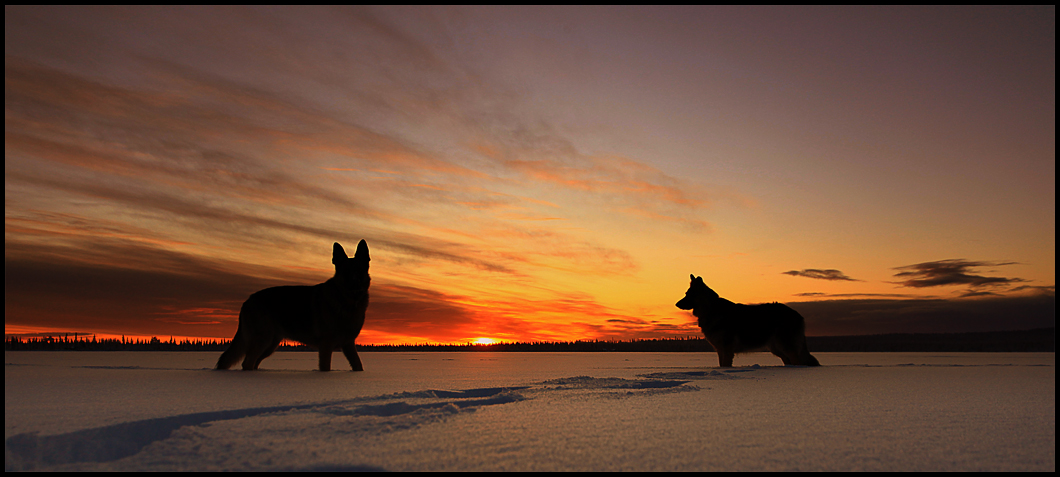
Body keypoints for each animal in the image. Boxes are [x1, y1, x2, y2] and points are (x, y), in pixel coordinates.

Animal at [213, 240, 370, 370]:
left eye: (359, 271)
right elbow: (326, 368)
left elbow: (358, 366)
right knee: (247, 363)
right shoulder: (326, 346)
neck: (348, 303)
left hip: (270, 344)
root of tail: (247, 300)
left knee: (254, 363)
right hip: (264, 340)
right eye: (346, 272)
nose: (355, 286)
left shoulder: (348, 344)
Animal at [678, 273, 818, 366]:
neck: (711, 308)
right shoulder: (720, 349)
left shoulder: (726, 349)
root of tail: (798, 315)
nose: (676, 304)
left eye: (688, 294)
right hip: (776, 347)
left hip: (784, 345)